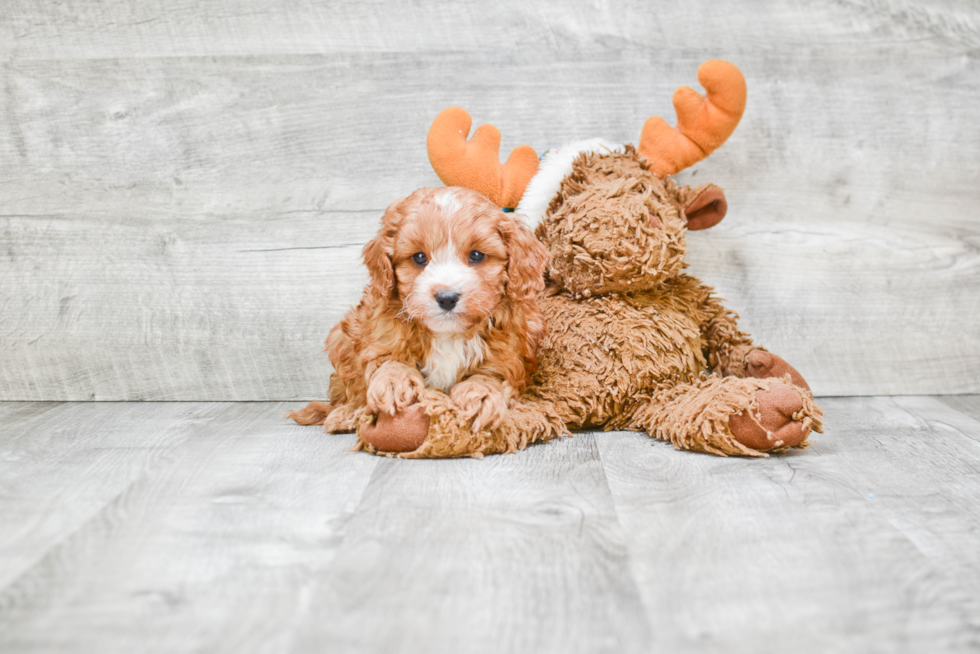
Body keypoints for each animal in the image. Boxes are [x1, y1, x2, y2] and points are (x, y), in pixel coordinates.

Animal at [290, 187, 552, 436]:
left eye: (476, 255)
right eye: (419, 257)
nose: (447, 298)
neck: (447, 334)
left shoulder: (510, 353)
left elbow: (490, 375)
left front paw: (480, 395)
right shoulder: (376, 336)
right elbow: (387, 361)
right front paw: (393, 382)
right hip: (341, 339)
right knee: (348, 391)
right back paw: (345, 413)